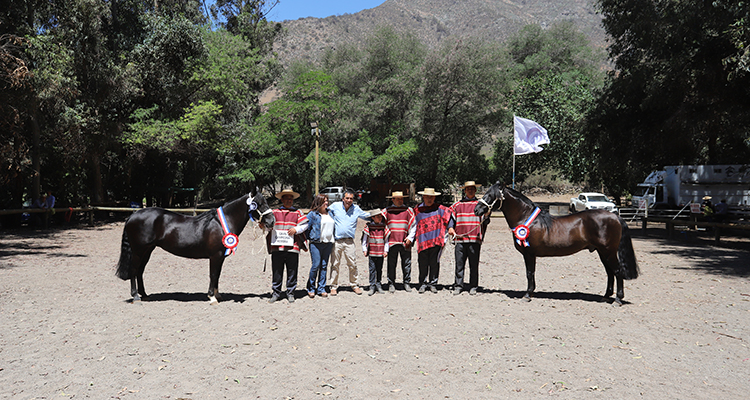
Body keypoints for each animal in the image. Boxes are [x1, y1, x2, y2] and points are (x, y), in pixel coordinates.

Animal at [119, 188, 278, 304]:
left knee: (140, 271)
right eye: (259, 203)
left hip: (147, 251)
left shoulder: (220, 257)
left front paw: (217, 295)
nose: (271, 221)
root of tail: (132, 216)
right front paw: (212, 297)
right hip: (138, 251)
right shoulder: (215, 256)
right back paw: (136, 296)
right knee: (134, 270)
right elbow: (213, 274)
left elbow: (217, 275)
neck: (221, 223)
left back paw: (145, 295)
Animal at [476, 183, 640, 304]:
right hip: (602, 252)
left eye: (489, 195)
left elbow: (529, 273)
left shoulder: (529, 254)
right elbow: (531, 273)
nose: (477, 210)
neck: (527, 218)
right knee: (610, 272)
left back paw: (618, 299)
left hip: (609, 252)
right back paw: (605, 296)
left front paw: (528, 295)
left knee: (617, 271)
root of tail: (615, 216)